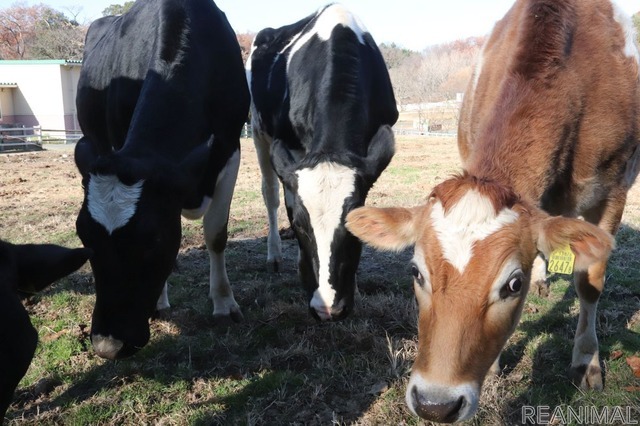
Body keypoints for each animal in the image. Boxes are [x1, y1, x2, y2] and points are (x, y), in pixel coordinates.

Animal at [72, 0, 248, 360]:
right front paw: (160, 302)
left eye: (153, 239)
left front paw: (225, 305)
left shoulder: (229, 148)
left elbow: (216, 235)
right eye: (85, 238)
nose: (108, 346)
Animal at [248, 3, 398, 322]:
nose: (328, 309)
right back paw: (274, 256)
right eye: (298, 226)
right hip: (257, 129)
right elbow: (287, 200)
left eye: (354, 224)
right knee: (271, 193)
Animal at [350, 0, 640, 422]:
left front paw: (587, 363)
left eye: (512, 285)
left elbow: (589, 281)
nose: (435, 404)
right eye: (416, 272)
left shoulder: (614, 192)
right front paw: (497, 363)